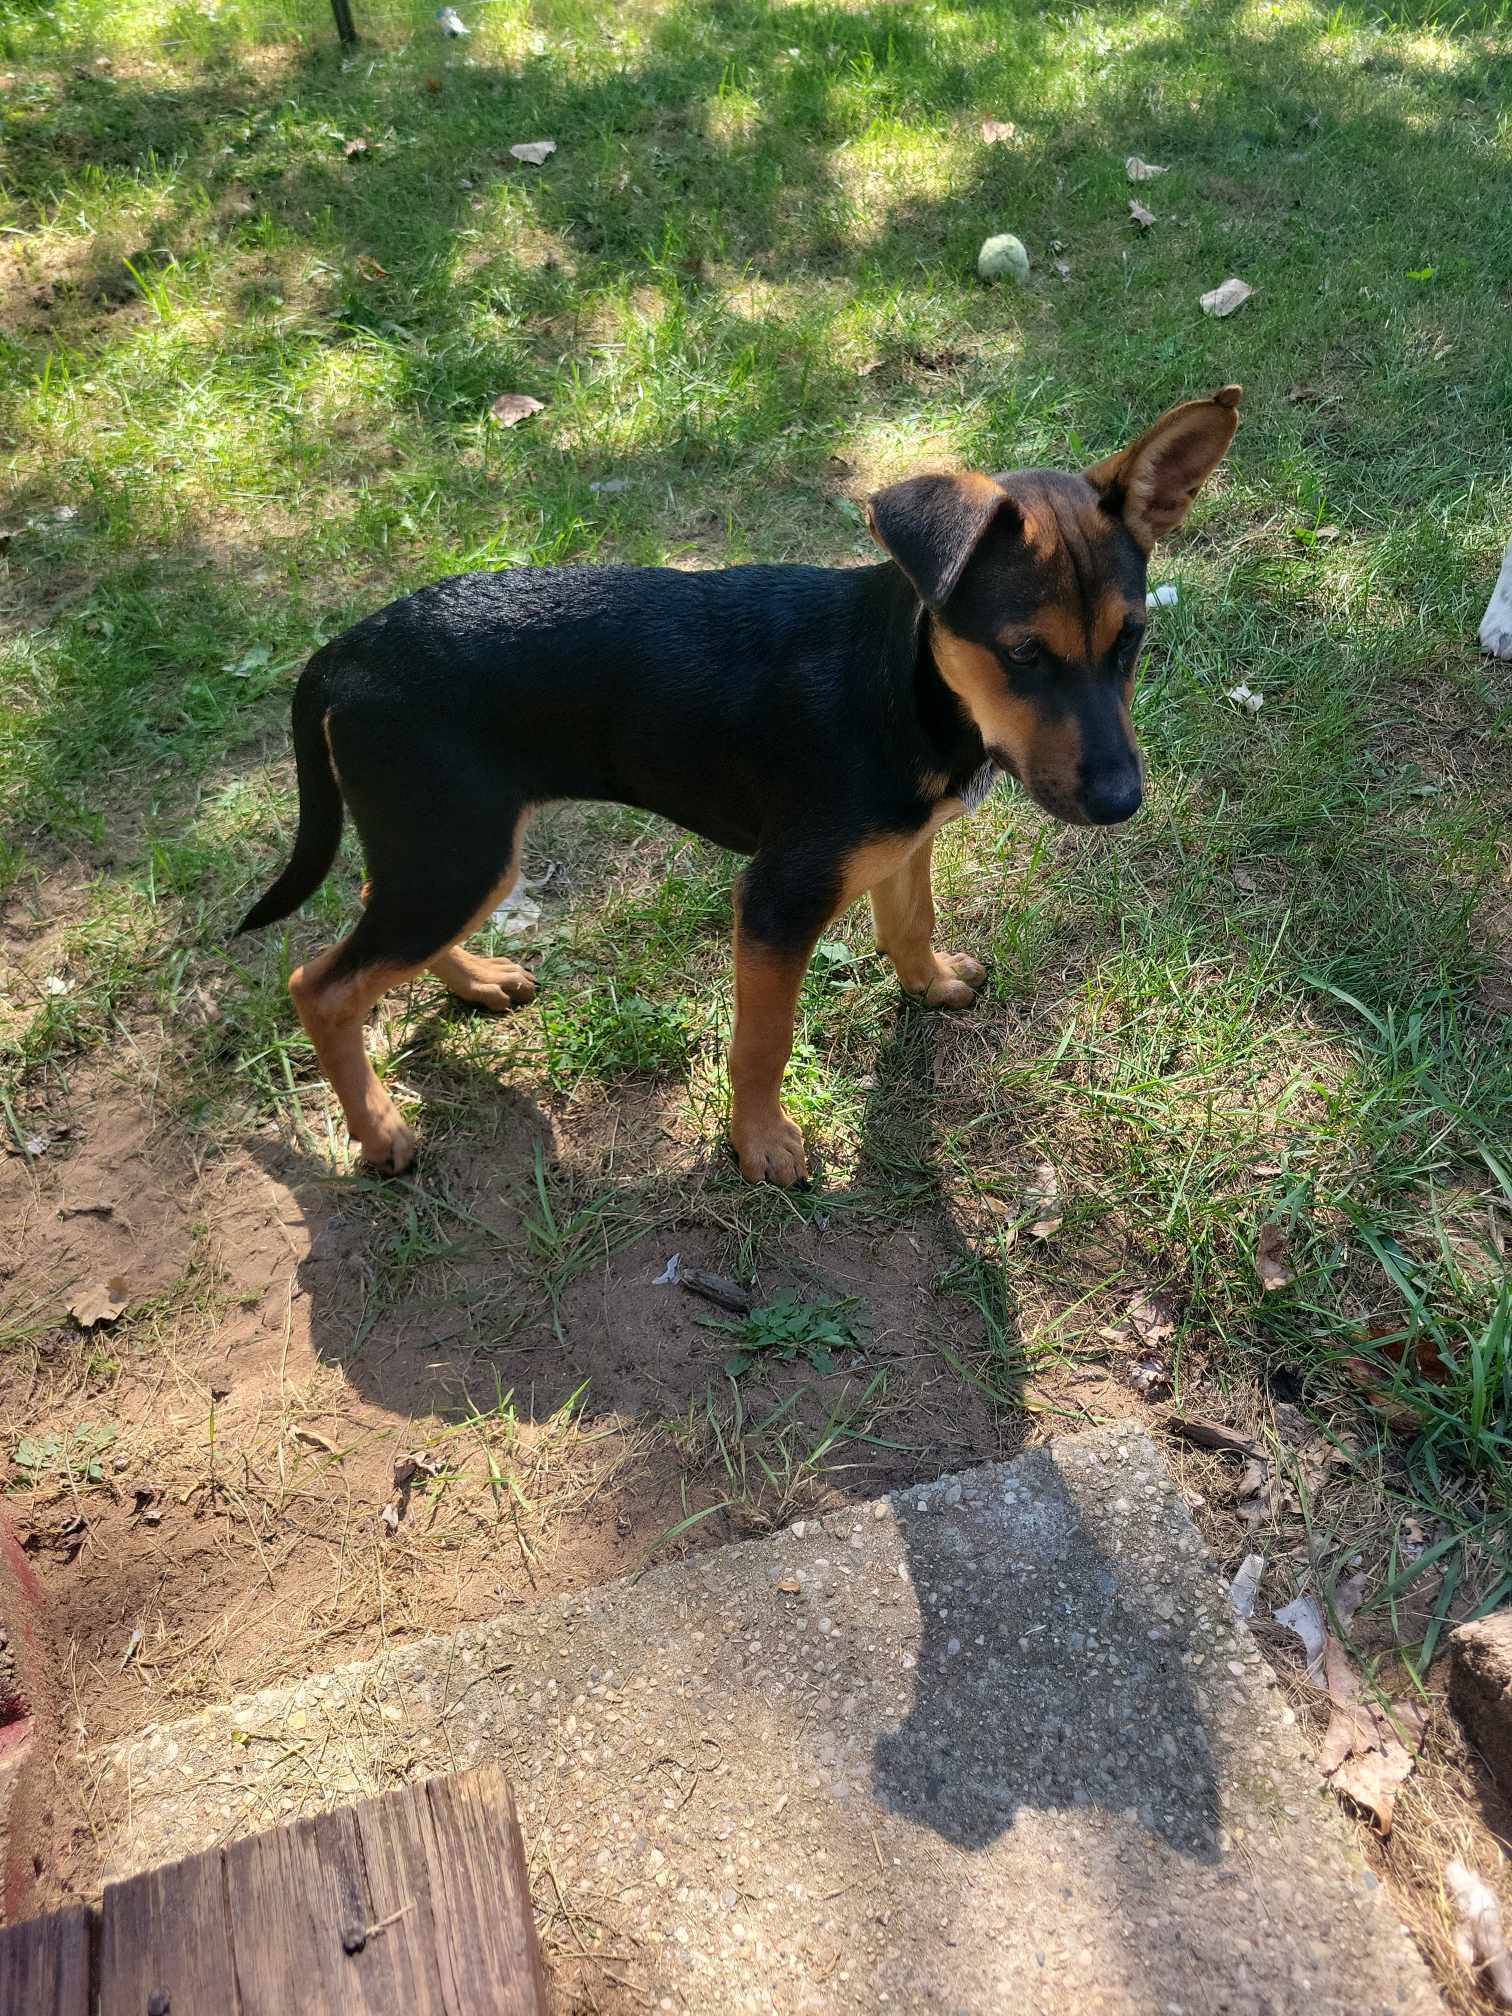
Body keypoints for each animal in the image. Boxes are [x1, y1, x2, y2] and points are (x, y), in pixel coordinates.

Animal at [239, 385, 1241, 1185]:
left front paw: (930, 985)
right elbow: (764, 1039)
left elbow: (909, 923)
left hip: (446, 846)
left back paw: (475, 981)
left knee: (371, 911)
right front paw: (760, 1143)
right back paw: (379, 1133)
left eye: (1132, 640)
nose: (1121, 803)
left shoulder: (901, 843)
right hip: (457, 849)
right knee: (319, 984)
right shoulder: (776, 899)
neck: (906, 683)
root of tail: (343, 653)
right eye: (1024, 654)